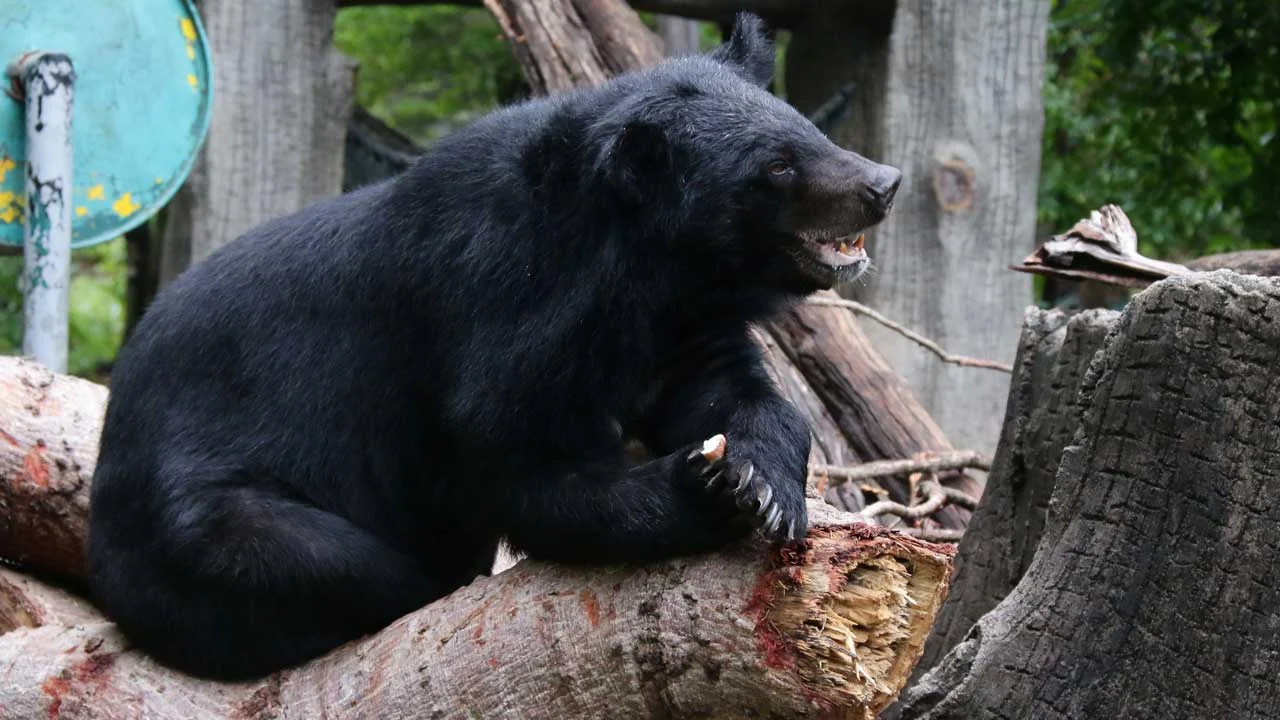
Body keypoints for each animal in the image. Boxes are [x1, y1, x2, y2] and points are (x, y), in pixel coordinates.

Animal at [85, 12, 901, 681]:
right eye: (777, 166)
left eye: (808, 129)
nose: (884, 183)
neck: (644, 268)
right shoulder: (496, 317)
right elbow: (524, 468)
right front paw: (701, 487)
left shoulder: (677, 322)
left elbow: (724, 387)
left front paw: (760, 482)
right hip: (195, 524)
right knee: (301, 554)